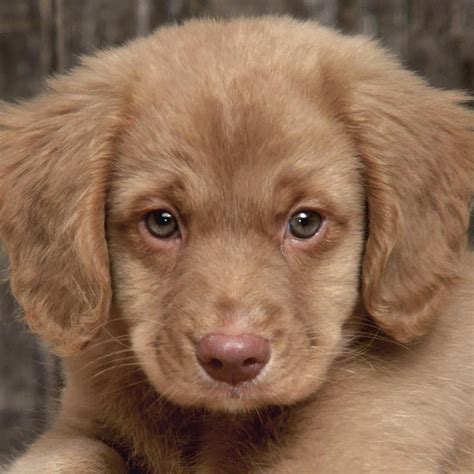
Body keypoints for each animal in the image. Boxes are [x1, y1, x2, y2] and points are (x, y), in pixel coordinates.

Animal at [0, 16, 472, 472]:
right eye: (161, 222)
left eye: (305, 223)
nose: (231, 359)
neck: (214, 424)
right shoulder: (80, 425)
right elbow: (67, 457)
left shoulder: (363, 443)